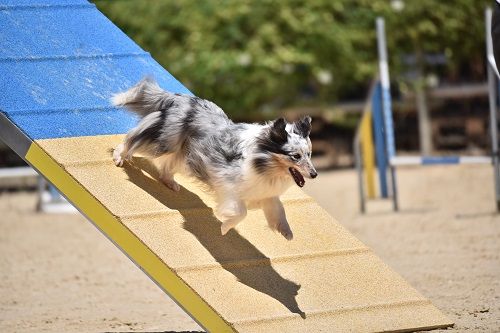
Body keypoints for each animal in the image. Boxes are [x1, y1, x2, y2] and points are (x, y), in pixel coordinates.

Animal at [112, 78, 316, 239]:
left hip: (184, 153)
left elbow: (279, 209)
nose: (314, 174)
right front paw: (225, 227)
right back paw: (119, 157)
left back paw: (170, 183)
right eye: (296, 156)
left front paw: (287, 232)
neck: (263, 163)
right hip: (164, 143)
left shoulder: (264, 193)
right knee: (131, 139)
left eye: (309, 154)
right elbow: (241, 213)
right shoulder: (228, 186)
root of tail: (181, 98)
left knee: (167, 167)